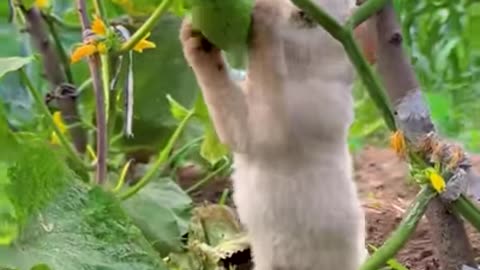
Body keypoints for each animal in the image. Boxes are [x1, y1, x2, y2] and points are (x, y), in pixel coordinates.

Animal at [178, 0, 376, 268]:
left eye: (306, 18)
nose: (275, 5)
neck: (296, 71)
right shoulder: (239, 128)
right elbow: (217, 87)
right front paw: (192, 36)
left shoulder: (272, 129)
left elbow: (265, 65)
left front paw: (264, 17)